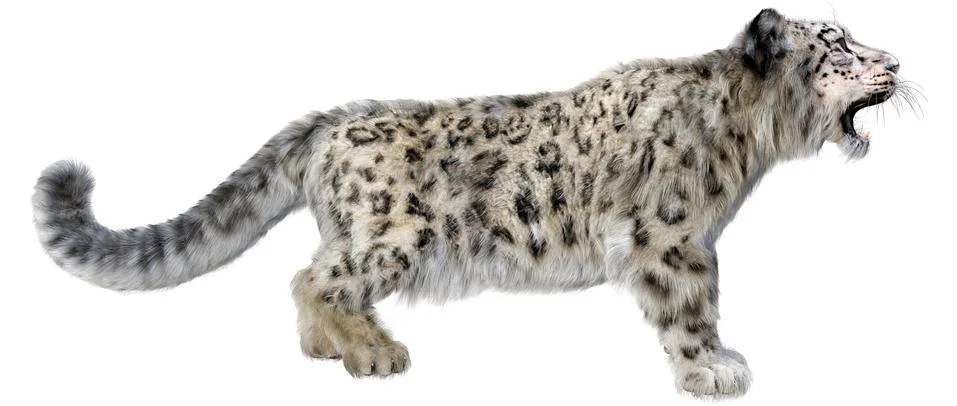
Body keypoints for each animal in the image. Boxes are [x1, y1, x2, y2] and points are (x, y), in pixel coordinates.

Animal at [32, 8, 909, 398]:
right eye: (838, 44)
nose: (896, 61)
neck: (745, 140)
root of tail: (328, 120)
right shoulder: (669, 238)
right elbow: (689, 307)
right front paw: (710, 368)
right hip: (397, 233)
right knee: (315, 277)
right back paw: (373, 353)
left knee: (310, 273)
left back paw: (331, 347)